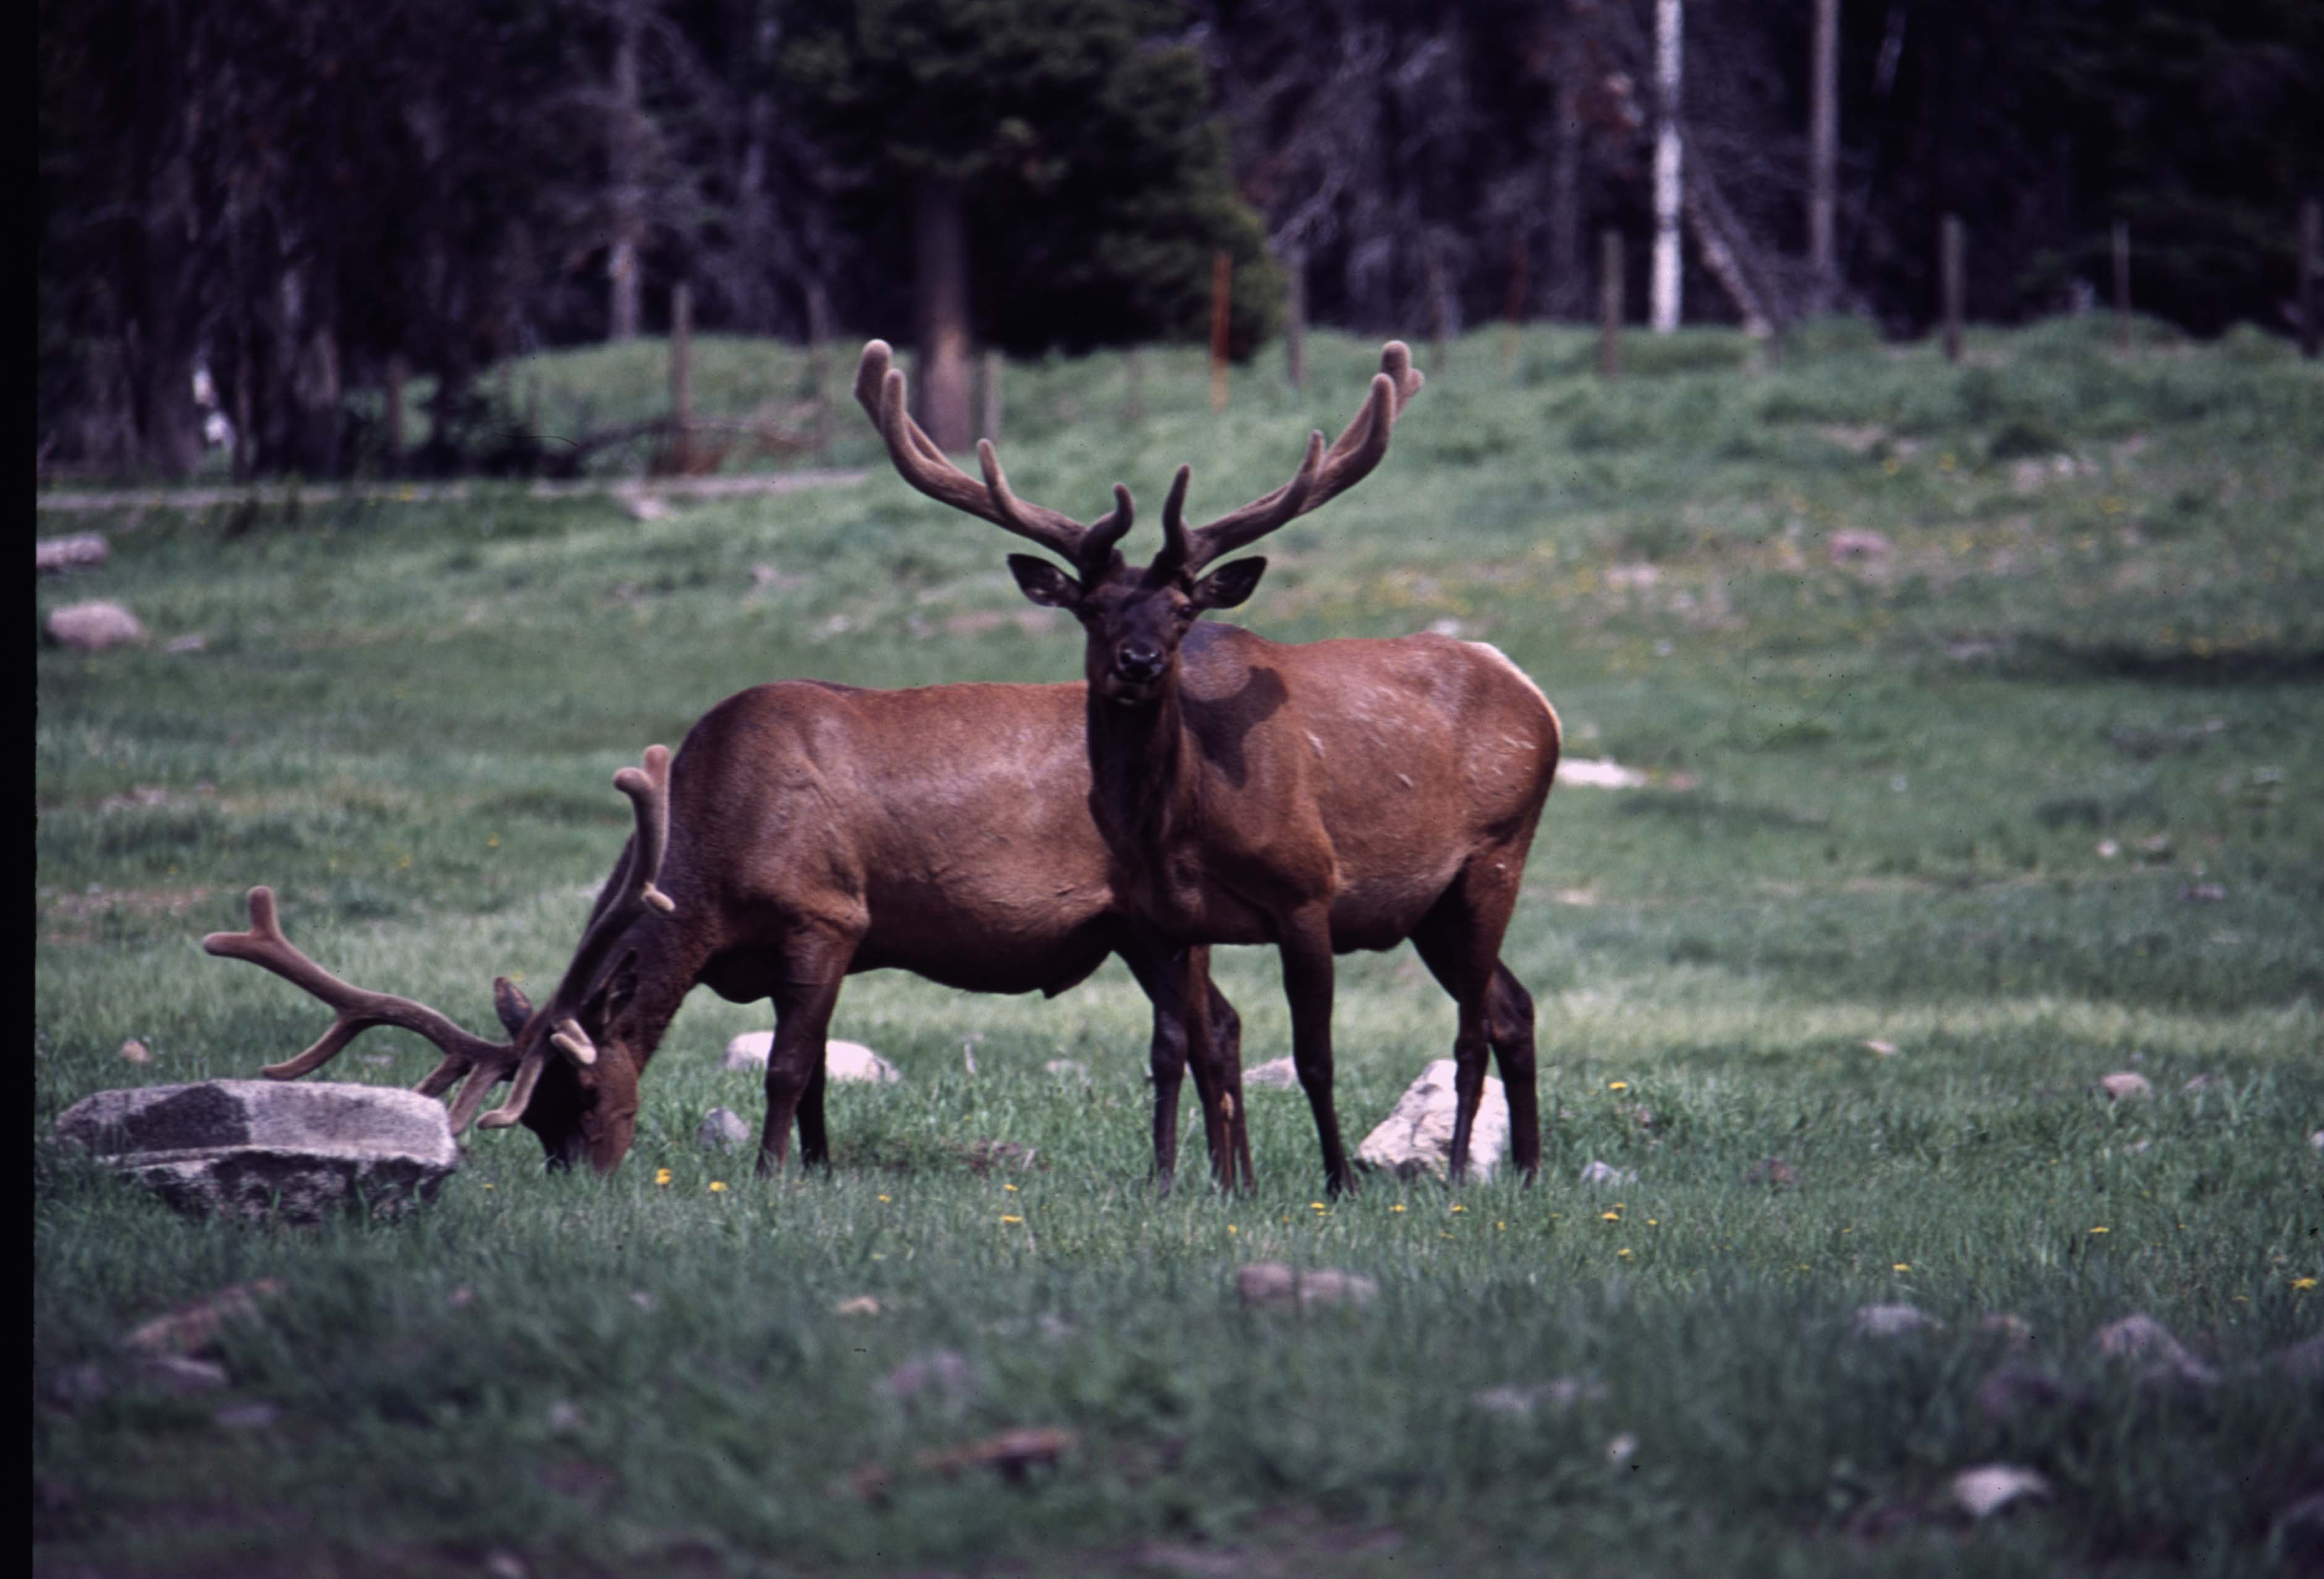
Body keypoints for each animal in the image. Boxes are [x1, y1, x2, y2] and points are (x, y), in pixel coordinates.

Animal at [204, 721, 1254, 1186]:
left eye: (589, 1089)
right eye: (534, 1116)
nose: (580, 1178)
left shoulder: (823, 915)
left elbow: (788, 1067)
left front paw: (766, 1175)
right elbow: (821, 1066)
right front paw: (818, 1169)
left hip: (1155, 922)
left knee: (1201, 1029)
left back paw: (1191, 1175)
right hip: (1140, 933)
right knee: (1229, 1023)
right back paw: (1231, 1176)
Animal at [854, 338, 1560, 1194]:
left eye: (1184, 611)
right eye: (1093, 608)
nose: (1140, 662)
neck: (1186, 824)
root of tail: (1528, 688)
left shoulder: (1309, 891)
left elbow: (1315, 1057)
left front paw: (1338, 1181)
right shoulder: (1161, 916)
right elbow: (1171, 1050)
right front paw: (1165, 1179)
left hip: (1497, 852)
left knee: (1469, 1028)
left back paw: (1458, 1170)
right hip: (1430, 905)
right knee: (1511, 1007)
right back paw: (1527, 1169)